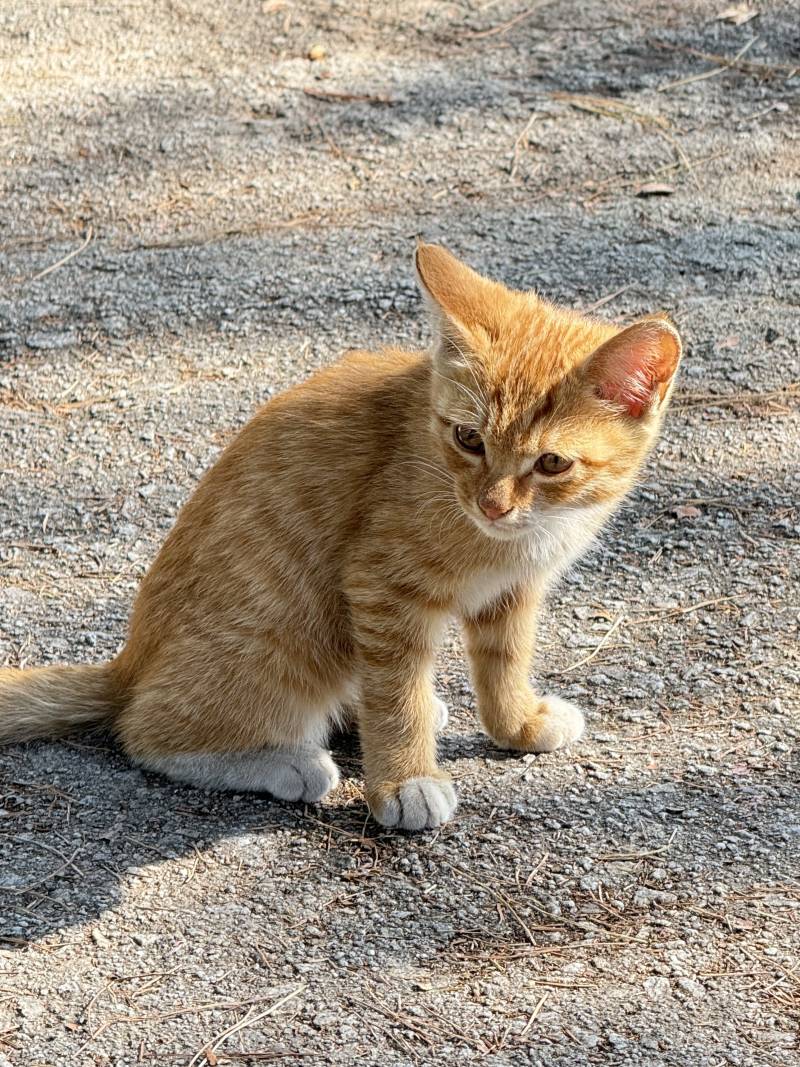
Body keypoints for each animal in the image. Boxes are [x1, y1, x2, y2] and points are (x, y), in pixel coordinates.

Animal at [0, 244, 682, 832]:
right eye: (468, 439)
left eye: (551, 464)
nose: (491, 504)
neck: (513, 537)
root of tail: (130, 663)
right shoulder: (383, 586)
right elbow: (397, 693)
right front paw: (405, 781)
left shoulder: (513, 592)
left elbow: (503, 662)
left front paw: (516, 723)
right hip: (284, 640)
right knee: (146, 732)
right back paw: (289, 760)